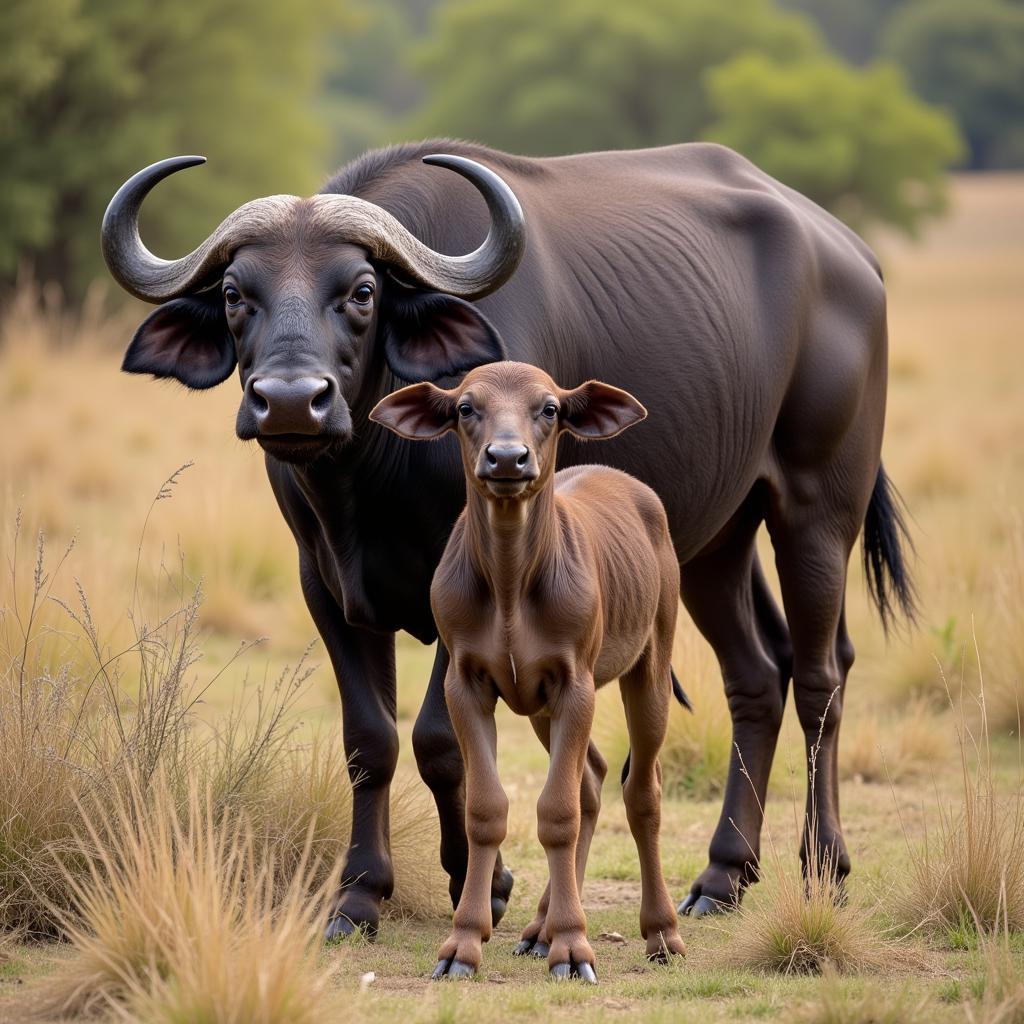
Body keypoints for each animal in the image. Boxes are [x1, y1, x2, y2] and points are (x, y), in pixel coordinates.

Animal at [370, 364, 688, 978]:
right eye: (465, 407)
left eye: (549, 408)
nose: (507, 458)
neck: (512, 581)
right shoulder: (466, 683)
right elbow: (486, 810)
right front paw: (464, 942)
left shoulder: (576, 684)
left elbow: (556, 813)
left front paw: (573, 947)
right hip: (541, 706)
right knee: (591, 778)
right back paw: (541, 926)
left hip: (651, 664)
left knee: (642, 791)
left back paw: (660, 932)